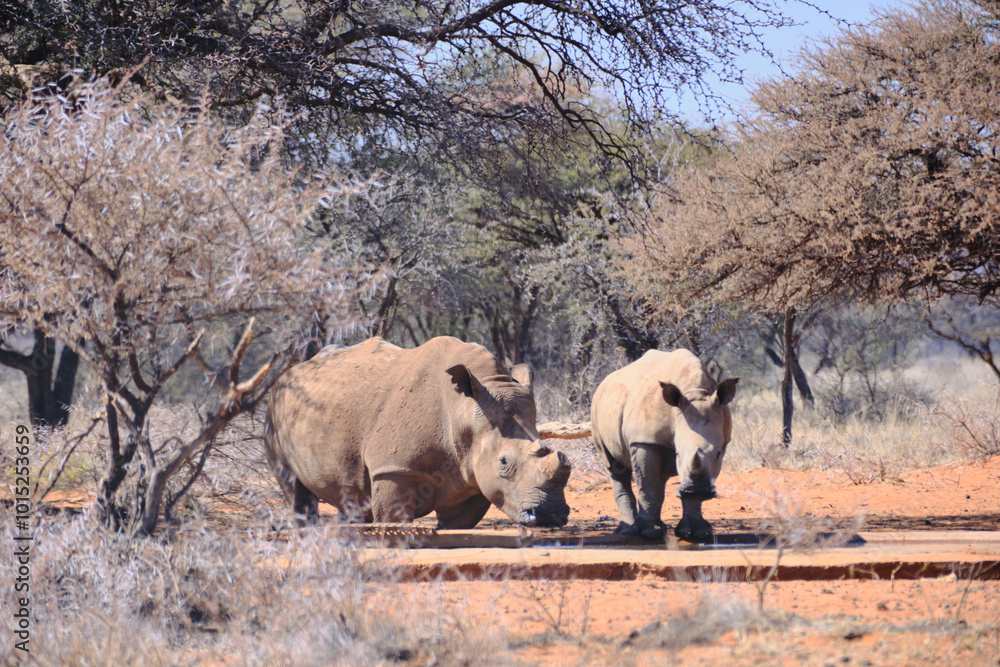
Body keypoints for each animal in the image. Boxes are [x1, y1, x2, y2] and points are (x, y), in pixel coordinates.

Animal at [263, 336, 571, 528]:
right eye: (503, 462)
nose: (551, 515)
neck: (463, 411)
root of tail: (289, 373)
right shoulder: (393, 469)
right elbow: (394, 520)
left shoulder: (471, 479)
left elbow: (455, 528)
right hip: (275, 408)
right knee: (295, 492)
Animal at [590, 349, 738, 541]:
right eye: (678, 454)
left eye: (719, 454)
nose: (697, 491)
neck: (696, 392)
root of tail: (605, 380)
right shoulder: (645, 440)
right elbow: (647, 486)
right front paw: (649, 533)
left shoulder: (722, 437)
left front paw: (699, 533)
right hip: (596, 409)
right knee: (614, 467)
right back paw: (628, 530)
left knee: (659, 478)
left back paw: (659, 527)